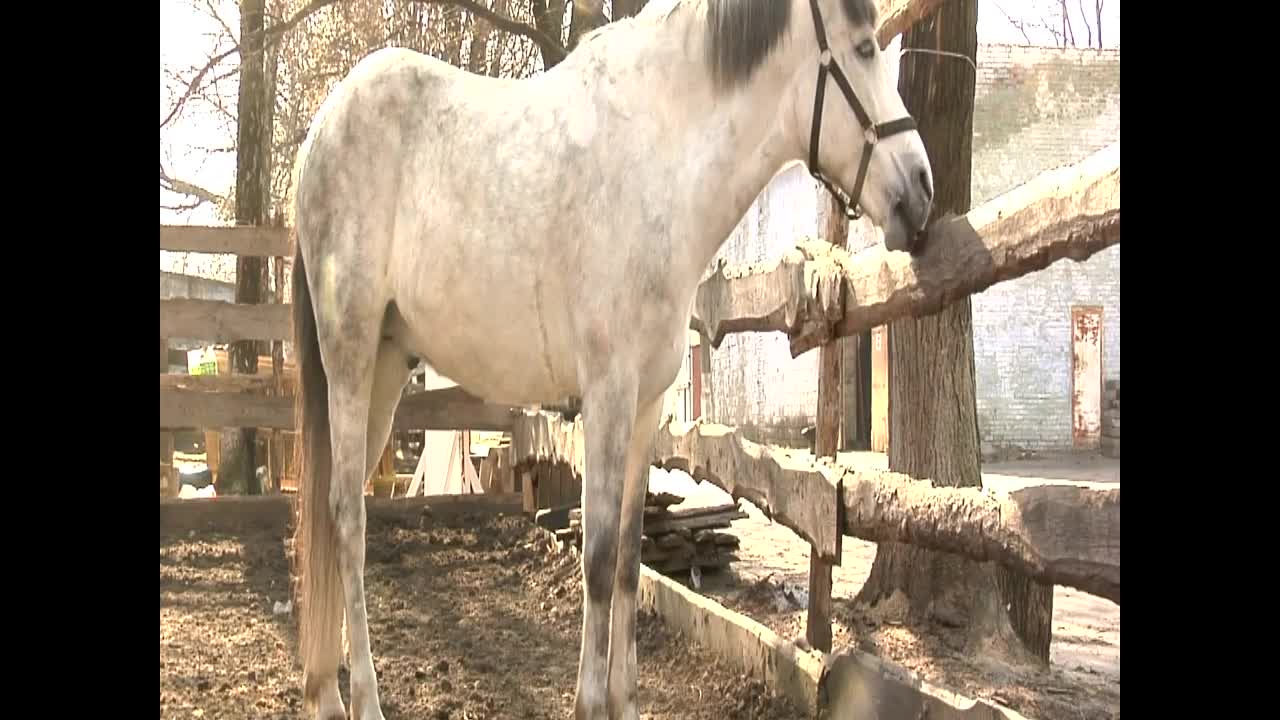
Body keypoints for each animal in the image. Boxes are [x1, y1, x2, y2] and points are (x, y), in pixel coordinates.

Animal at [290, 0, 931, 712]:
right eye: (866, 48)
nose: (921, 192)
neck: (661, 155)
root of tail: (321, 132)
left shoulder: (647, 404)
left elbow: (627, 558)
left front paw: (624, 701)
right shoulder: (607, 395)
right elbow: (596, 558)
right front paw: (589, 702)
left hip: (384, 368)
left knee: (335, 512)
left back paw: (324, 689)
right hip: (348, 360)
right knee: (348, 520)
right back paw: (360, 700)